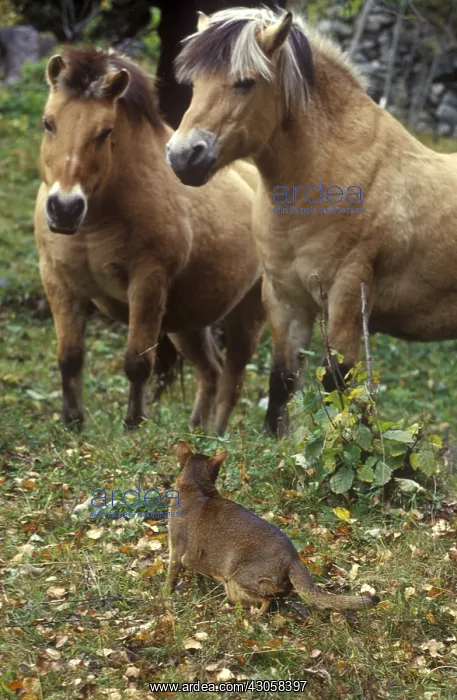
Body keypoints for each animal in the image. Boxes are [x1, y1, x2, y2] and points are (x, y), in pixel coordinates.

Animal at [34, 47, 265, 434]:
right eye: (48, 122)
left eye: (106, 131)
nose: (65, 209)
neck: (97, 219)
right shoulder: (58, 282)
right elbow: (69, 356)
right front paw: (73, 422)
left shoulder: (147, 284)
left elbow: (137, 362)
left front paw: (133, 424)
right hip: (189, 323)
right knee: (211, 370)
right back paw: (196, 431)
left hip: (248, 314)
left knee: (232, 380)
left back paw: (216, 436)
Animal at [167, 7, 457, 437]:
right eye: (193, 84)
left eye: (246, 83)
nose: (184, 156)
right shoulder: (285, 300)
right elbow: (283, 382)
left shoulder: (348, 296)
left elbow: (337, 382)